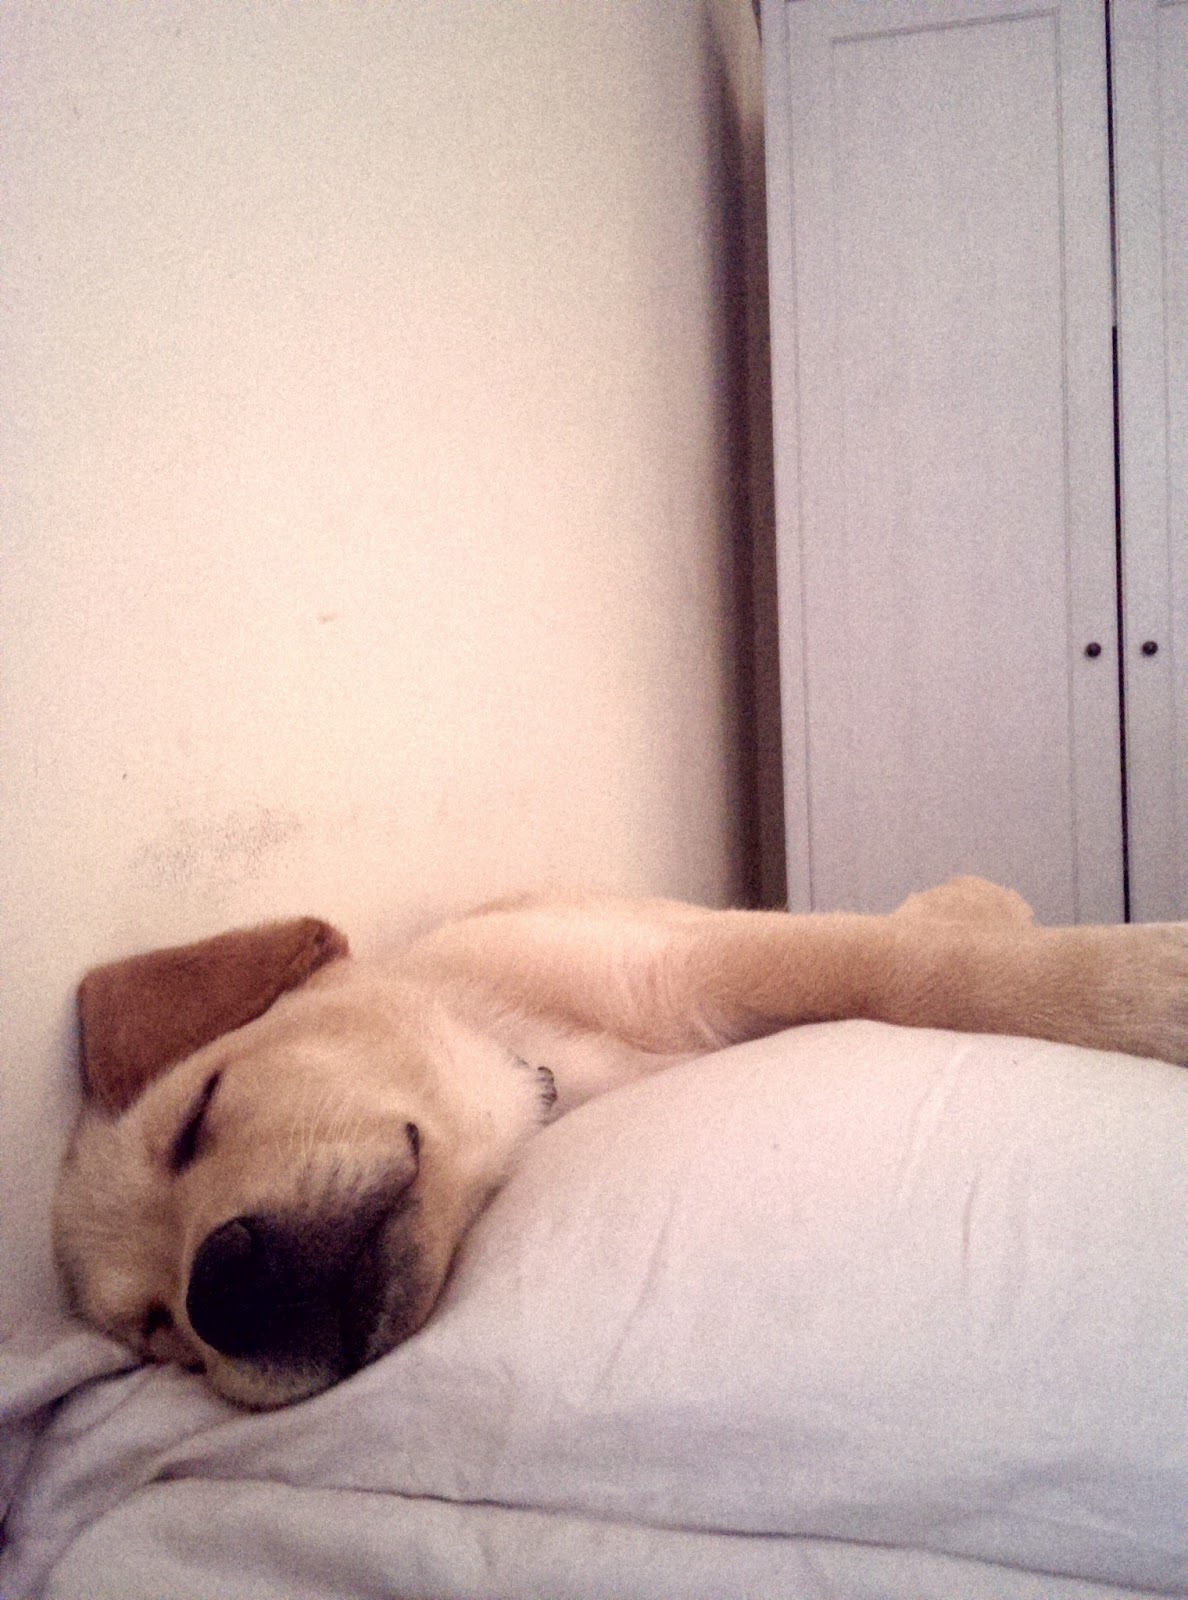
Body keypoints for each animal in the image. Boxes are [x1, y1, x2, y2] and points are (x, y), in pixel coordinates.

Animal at [54, 877, 1188, 1409]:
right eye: (157, 1333)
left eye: (199, 1112)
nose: (221, 1293)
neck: (550, 1068)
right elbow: (917, 961)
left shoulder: (707, 959)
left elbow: (922, 972)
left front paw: (1145, 985)